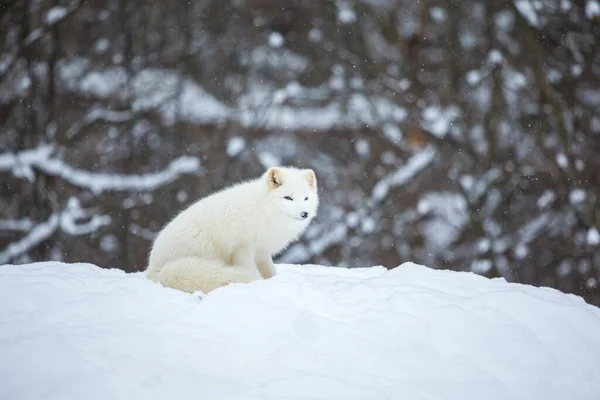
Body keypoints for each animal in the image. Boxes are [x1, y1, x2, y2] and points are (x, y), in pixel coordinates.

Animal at [145, 166, 318, 294]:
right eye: (288, 198)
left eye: (306, 198)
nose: (304, 213)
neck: (264, 210)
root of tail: (154, 269)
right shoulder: (242, 248)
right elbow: (249, 269)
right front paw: (252, 283)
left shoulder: (261, 250)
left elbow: (269, 270)